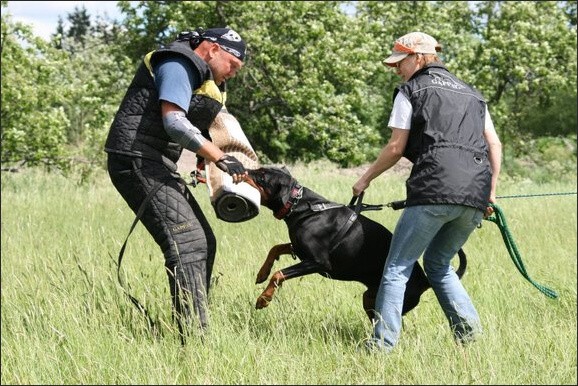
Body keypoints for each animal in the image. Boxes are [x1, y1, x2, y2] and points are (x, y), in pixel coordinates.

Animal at [243, 165, 464, 320]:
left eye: (261, 176)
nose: (242, 169)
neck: (304, 207)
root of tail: (425, 281)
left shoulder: (318, 262)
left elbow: (279, 274)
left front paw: (263, 299)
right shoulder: (300, 250)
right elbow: (275, 249)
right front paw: (261, 273)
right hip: (369, 298)